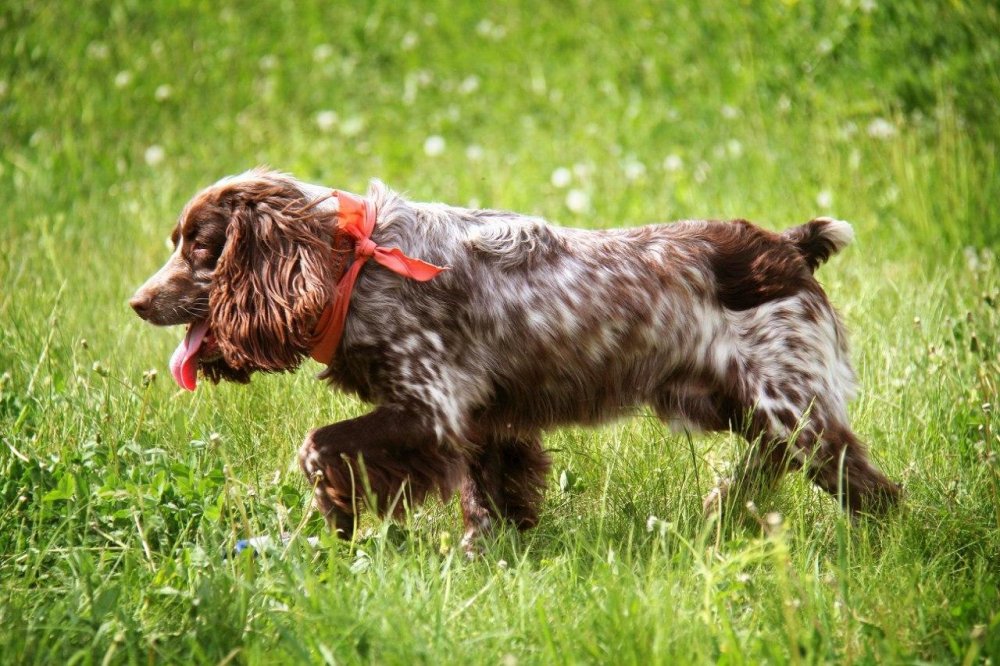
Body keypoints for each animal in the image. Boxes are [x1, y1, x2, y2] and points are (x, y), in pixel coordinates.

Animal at [129, 167, 904, 548]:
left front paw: (339, 517)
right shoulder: (476, 422)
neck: (355, 266)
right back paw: (727, 507)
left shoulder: (432, 409)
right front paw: (487, 554)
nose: (136, 301)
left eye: (201, 248)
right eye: (179, 242)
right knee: (776, 468)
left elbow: (318, 447)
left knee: (872, 489)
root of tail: (788, 248)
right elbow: (488, 498)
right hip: (741, 406)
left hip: (789, 408)